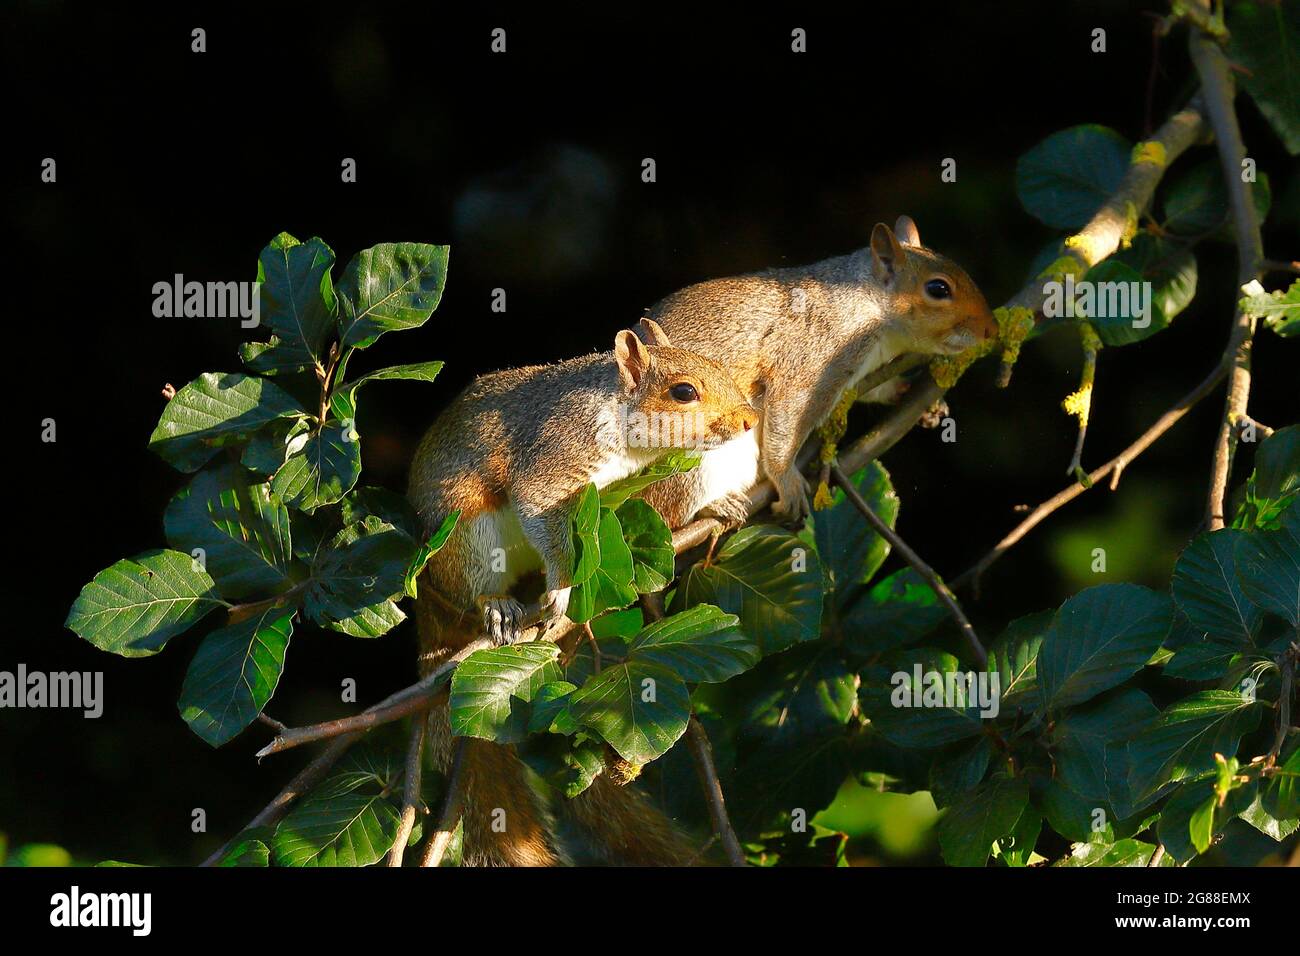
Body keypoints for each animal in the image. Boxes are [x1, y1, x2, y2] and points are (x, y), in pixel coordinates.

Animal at [408, 321, 757, 866]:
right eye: (683, 392)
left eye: (718, 365)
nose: (749, 421)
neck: (615, 412)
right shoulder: (555, 456)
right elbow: (539, 508)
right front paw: (562, 589)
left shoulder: (616, 492)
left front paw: (719, 504)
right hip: (466, 535)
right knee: (472, 586)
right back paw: (497, 605)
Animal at [636, 216, 997, 529]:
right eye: (938, 289)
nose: (991, 330)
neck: (869, 307)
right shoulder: (811, 358)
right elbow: (787, 415)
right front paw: (787, 479)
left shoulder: (860, 371)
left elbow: (875, 390)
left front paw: (911, 394)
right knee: (671, 512)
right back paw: (713, 506)